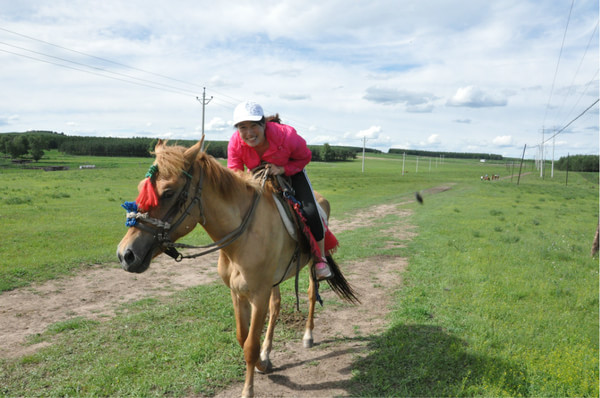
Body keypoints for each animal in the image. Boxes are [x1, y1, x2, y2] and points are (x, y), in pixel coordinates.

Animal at [117, 138, 356, 396]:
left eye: (168, 192)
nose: (125, 254)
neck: (243, 236)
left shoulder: (258, 294)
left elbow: (250, 345)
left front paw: (248, 389)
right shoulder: (238, 293)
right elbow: (243, 337)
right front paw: (263, 363)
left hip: (311, 263)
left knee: (312, 295)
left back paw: (308, 335)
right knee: (276, 306)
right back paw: (268, 351)